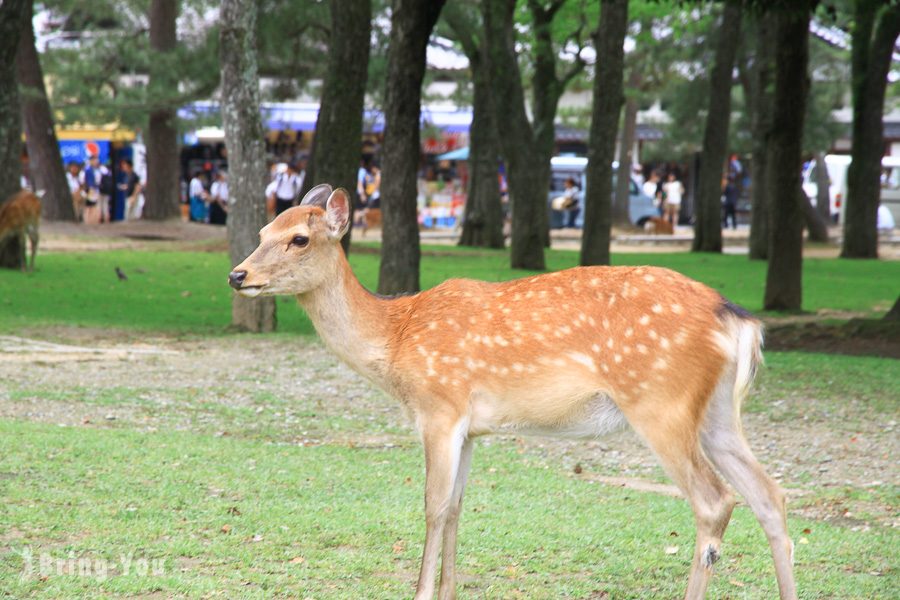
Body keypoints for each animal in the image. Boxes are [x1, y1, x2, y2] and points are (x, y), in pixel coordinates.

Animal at [229, 185, 800, 596]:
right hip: (718, 411)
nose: (238, 274)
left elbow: (433, 506)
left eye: (299, 239)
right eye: (262, 228)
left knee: (714, 500)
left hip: (660, 400)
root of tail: (737, 319)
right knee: (770, 494)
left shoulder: (439, 407)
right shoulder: (471, 427)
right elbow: (457, 507)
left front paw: (422, 592)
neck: (396, 338)